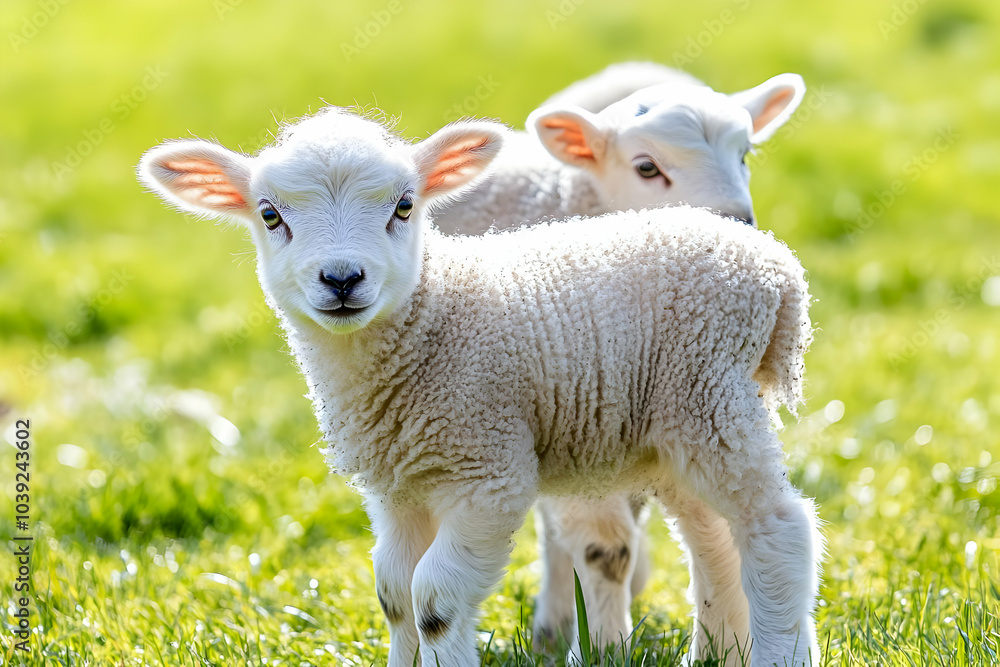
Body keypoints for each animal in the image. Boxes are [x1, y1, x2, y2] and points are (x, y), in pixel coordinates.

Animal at [138, 108, 822, 667]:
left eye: (404, 207)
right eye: (270, 214)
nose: (342, 278)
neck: (432, 314)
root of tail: (777, 268)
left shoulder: (488, 472)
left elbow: (434, 600)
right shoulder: (396, 488)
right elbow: (394, 594)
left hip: (709, 399)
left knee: (778, 530)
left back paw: (776, 654)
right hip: (679, 427)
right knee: (714, 540)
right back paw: (720, 651)